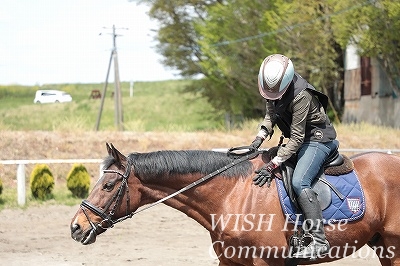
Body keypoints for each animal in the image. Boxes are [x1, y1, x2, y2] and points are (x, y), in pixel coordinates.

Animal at [70, 143, 398, 266]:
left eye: (108, 186)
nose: (76, 227)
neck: (232, 194)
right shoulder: (230, 261)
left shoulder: (265, 263)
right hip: (382, 244)